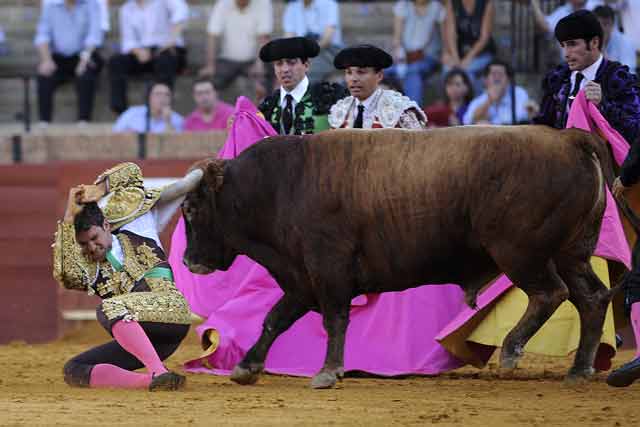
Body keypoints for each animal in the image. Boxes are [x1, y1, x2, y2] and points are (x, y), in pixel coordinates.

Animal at [182, 125, 628, 390]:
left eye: (191, 209)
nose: (188, 262)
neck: (279, 185)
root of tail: (568, 137)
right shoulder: (302, 278)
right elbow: (275, 318)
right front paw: (247, 367)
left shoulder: (328, 268)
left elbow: (333, 319)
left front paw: (327, 372)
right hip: (572, 252)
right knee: (591, 298)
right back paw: (579, 370)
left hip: (520, 252)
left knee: (550, 294)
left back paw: (512, 350)